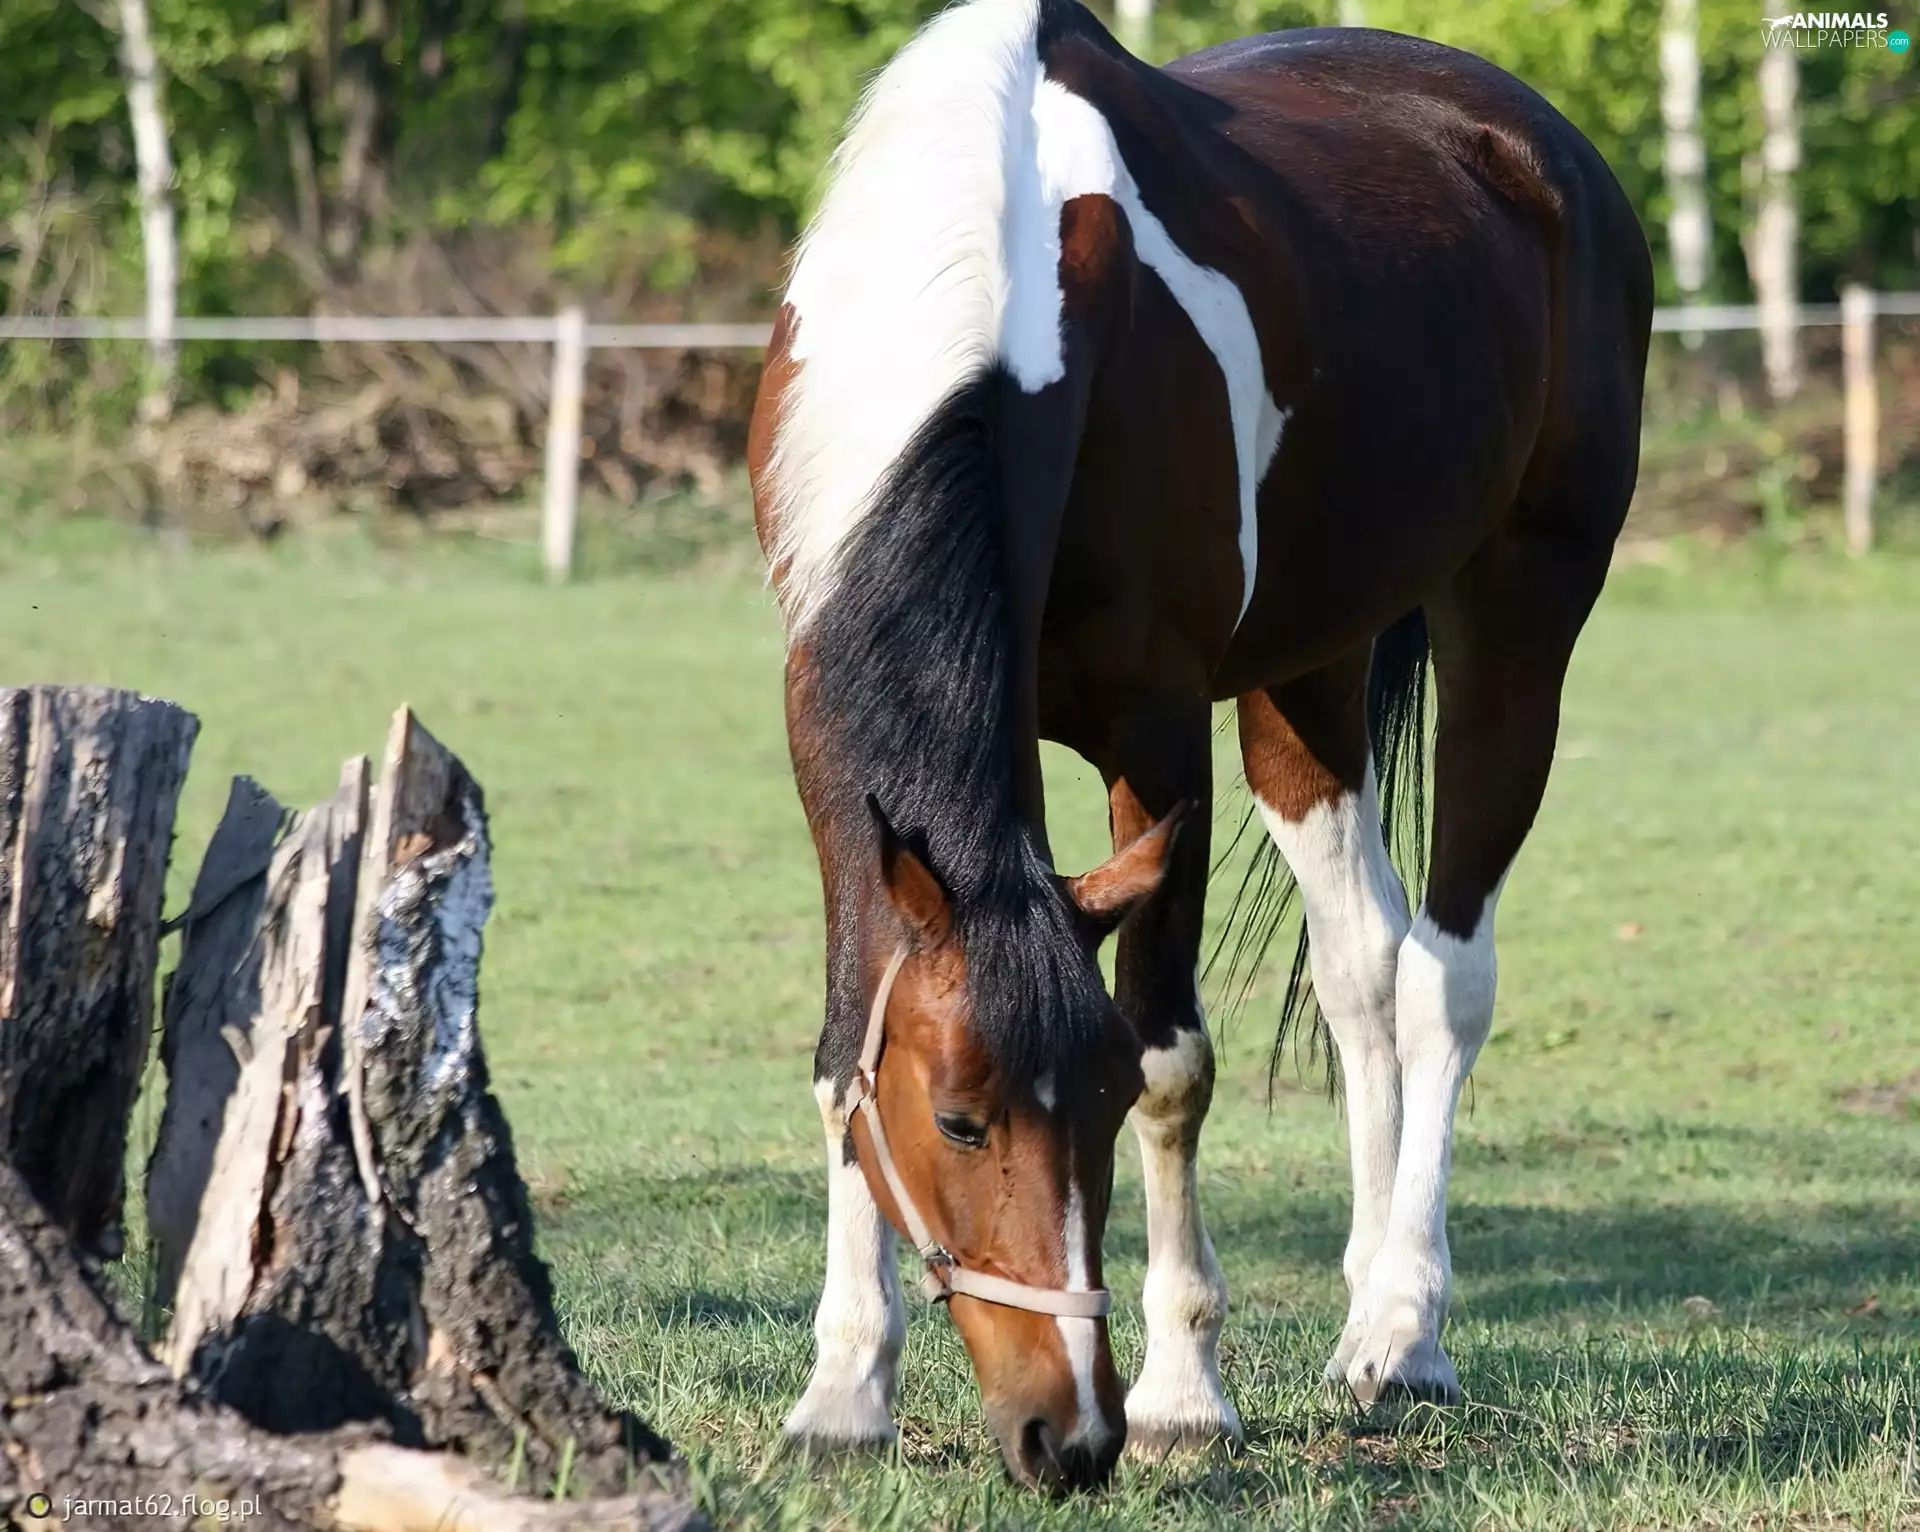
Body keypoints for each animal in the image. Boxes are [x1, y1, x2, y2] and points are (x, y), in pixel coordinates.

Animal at [748, 0, 1651, 1493]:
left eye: (1101, 1099)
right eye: (958, 1116)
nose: (1066, 1433)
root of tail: (1534, 143)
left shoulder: (1157, 729)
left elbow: (1180, 1056)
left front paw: (1181, 1392)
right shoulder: (829, 740)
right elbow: (839, 1050)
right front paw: (842, 1389)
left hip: (1520, 618)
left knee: (1443, 974)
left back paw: (1404, 1327)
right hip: (1309, 671)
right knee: (1361, 964)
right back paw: (1357, 1314)